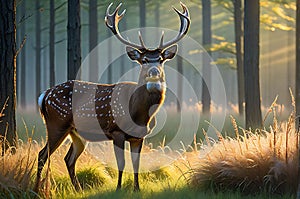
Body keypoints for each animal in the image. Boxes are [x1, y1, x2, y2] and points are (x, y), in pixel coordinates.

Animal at [34, 1, 190, 193]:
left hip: (76, 133)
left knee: (68, 159)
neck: (140, 115)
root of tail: (44, 95)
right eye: (144, 60)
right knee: (42, 154)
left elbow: (136, 163)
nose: (153, 72)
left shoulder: (140, 137)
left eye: (161, 59)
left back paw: (78, 189)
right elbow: (121, 163)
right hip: (57, 123)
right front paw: (118, 188)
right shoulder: (116, 131)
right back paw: (36, 189)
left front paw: (137, 189)